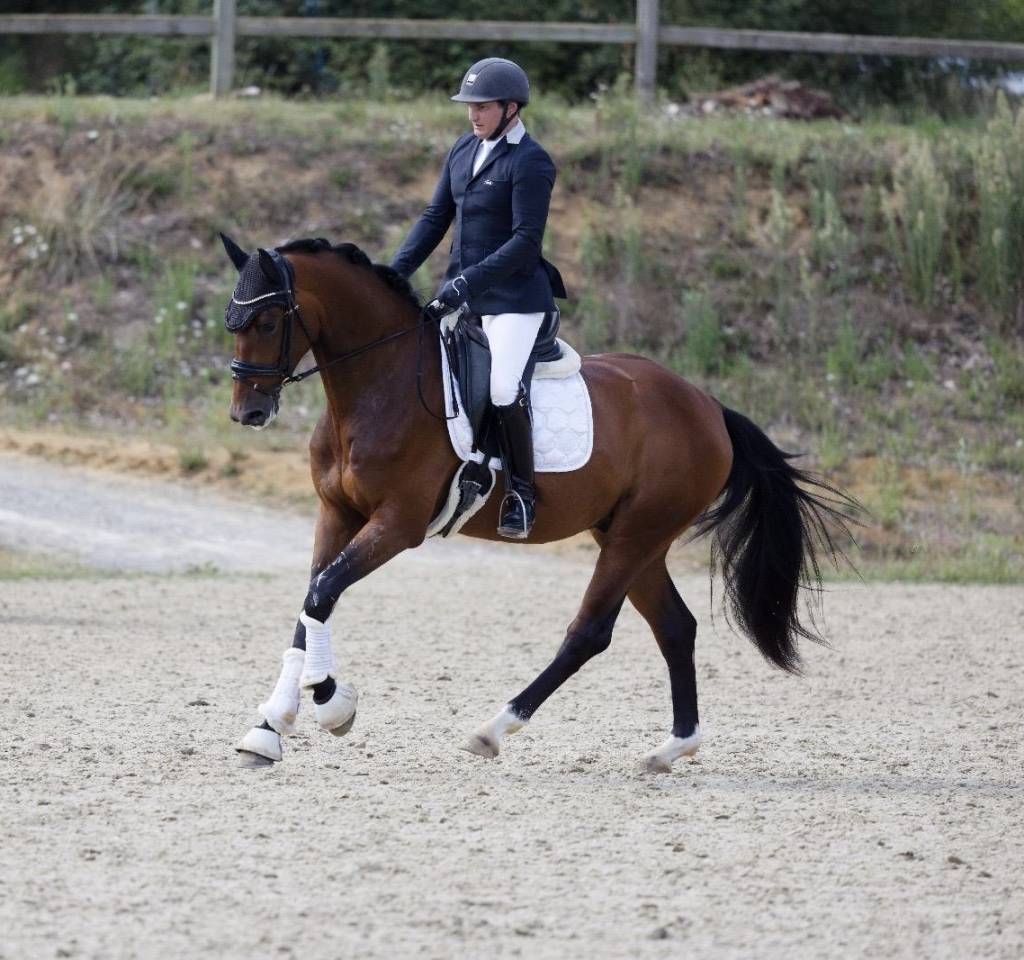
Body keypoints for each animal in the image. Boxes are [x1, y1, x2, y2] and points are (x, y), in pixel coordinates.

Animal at [220, 234, 856, 773]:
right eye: (233, 320)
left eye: (268, 319)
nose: (248, 413)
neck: (381, 382)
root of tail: (708, 406)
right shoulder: (338, 513)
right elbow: (312, 603)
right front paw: (269, 729)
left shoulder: (398, 523)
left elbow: (322, 593)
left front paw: (332, 704)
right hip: (631, 535)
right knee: (675, 626)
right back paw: (672, 748)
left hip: (638, 534)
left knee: (590, 632)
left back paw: (493, 729)